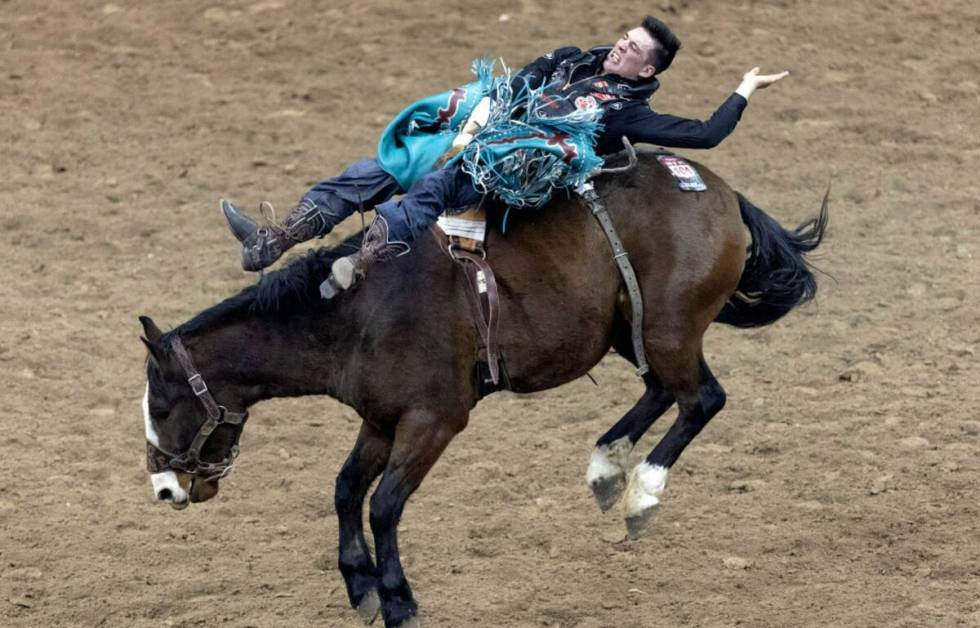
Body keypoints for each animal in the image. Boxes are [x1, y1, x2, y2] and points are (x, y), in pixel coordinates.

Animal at [138, 152, 828, 628]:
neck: (359, 311)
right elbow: (346, 490)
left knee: (701, 398)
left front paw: (399, 602)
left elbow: (384, 504)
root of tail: (723, 193)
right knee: (664, 392)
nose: (166, 488)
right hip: (628, 331)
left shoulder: (434, 419)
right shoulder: (380, 419)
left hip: (668, 329)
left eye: (164, 405)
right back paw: (606, 468)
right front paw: (361, 588)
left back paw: (640, 496)